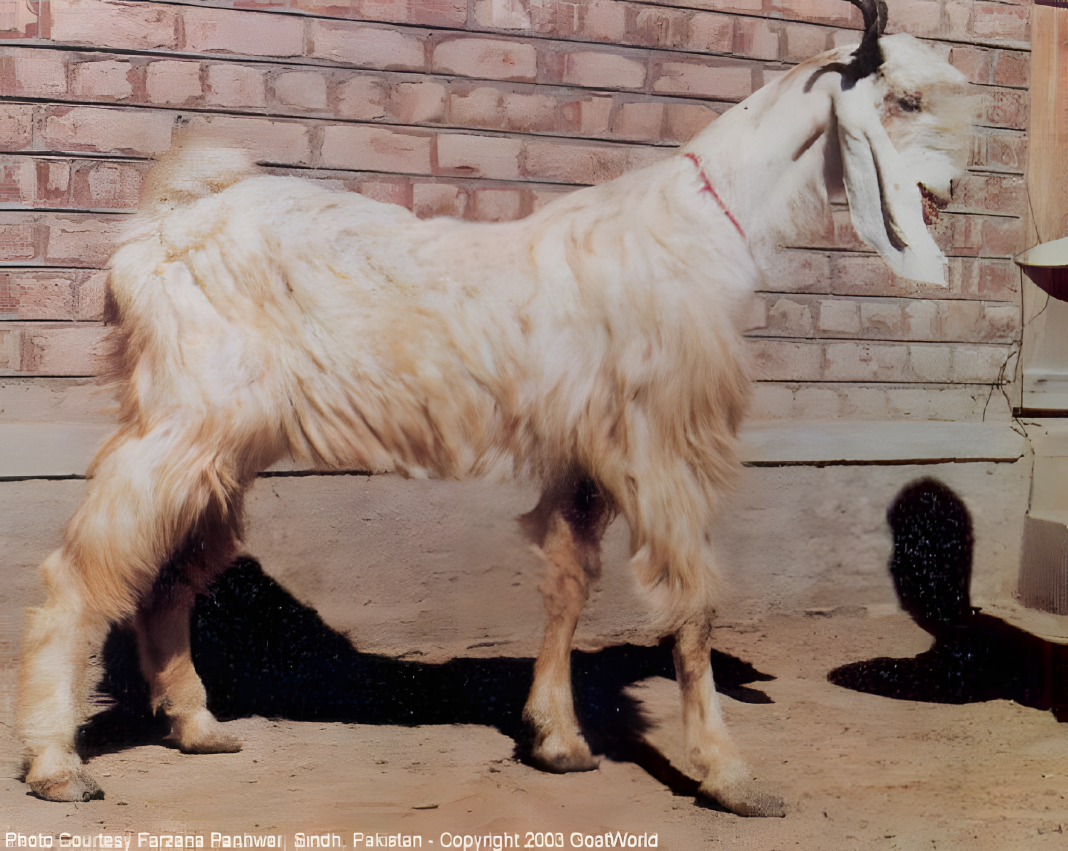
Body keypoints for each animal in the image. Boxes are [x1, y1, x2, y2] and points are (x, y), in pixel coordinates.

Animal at [18, 0, 970, 815]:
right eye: (905, 98)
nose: (949, 191)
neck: (695, 231)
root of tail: (167, 220)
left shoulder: (585, 455)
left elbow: (568, 585)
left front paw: (558, 739)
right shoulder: (658, 446)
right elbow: (693, 608)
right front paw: (730, 775)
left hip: (222, 447)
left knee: (166, 577)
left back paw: (197, 725)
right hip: (181, 425)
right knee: (79, 572)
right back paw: (58, 763)